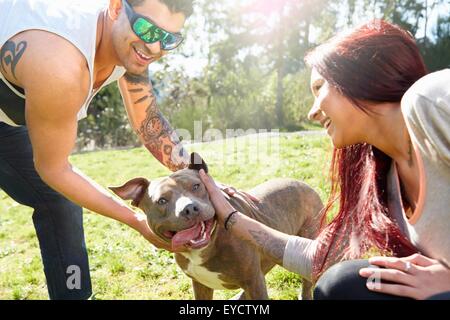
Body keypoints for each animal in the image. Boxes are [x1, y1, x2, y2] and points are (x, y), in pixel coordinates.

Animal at [110, 154, 322, 298]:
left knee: (306, 282)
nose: (189, 209)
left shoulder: (253, 281)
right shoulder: (200, 285)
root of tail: (303, 183)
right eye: (162, 201)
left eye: (196, 186)